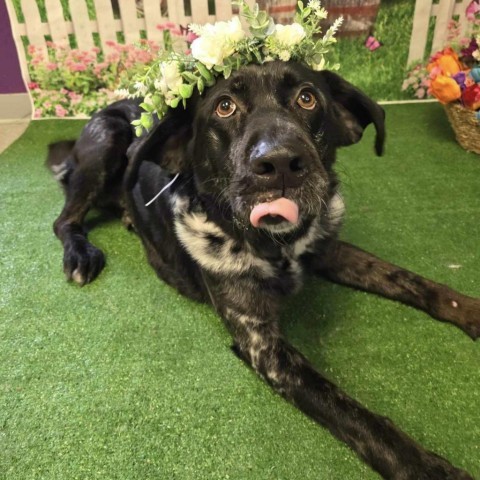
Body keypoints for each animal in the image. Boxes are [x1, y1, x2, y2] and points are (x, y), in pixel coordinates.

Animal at [47, 62, 478, 478]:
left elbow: (403, 277)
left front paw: (469, 310)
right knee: (62, 220)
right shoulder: (265, 349)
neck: (279, 246)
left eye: (307, 98)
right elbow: (353, 414)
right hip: (107, 140)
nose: (281, 163)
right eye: (224, 106)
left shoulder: (327, 250)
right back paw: (81, 255)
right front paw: (427, 468)